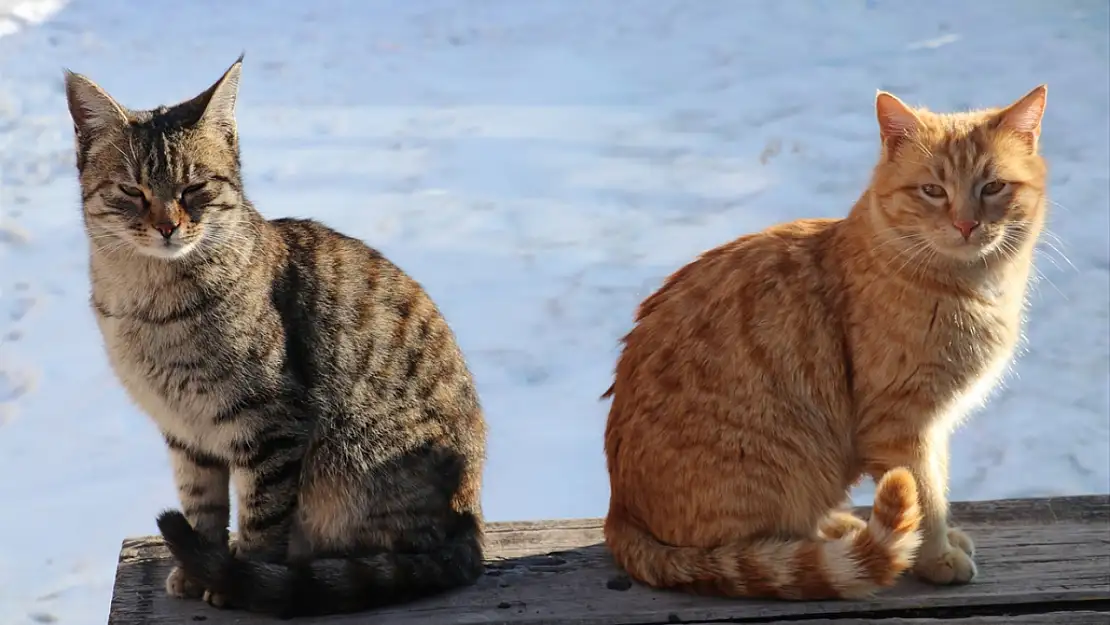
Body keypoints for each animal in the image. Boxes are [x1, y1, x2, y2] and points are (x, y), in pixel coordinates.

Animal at [63, 57, 486, 617]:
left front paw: (237, 575)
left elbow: (261, 516)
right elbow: (200, 504)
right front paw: (200, 566)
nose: (168, 227)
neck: (151, 303)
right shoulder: (185, 433)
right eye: (133, 191)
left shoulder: (270, 424)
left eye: (194, 188)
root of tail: (470, 525)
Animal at [608, 85, 1047, 599]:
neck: (975, 286)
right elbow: (924, 496)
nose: (966, 225)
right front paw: (934, 556)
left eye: (992, 187)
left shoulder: (933, 426)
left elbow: (937, 484)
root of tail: (619, 513)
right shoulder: (900, 423)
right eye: (932, 191)